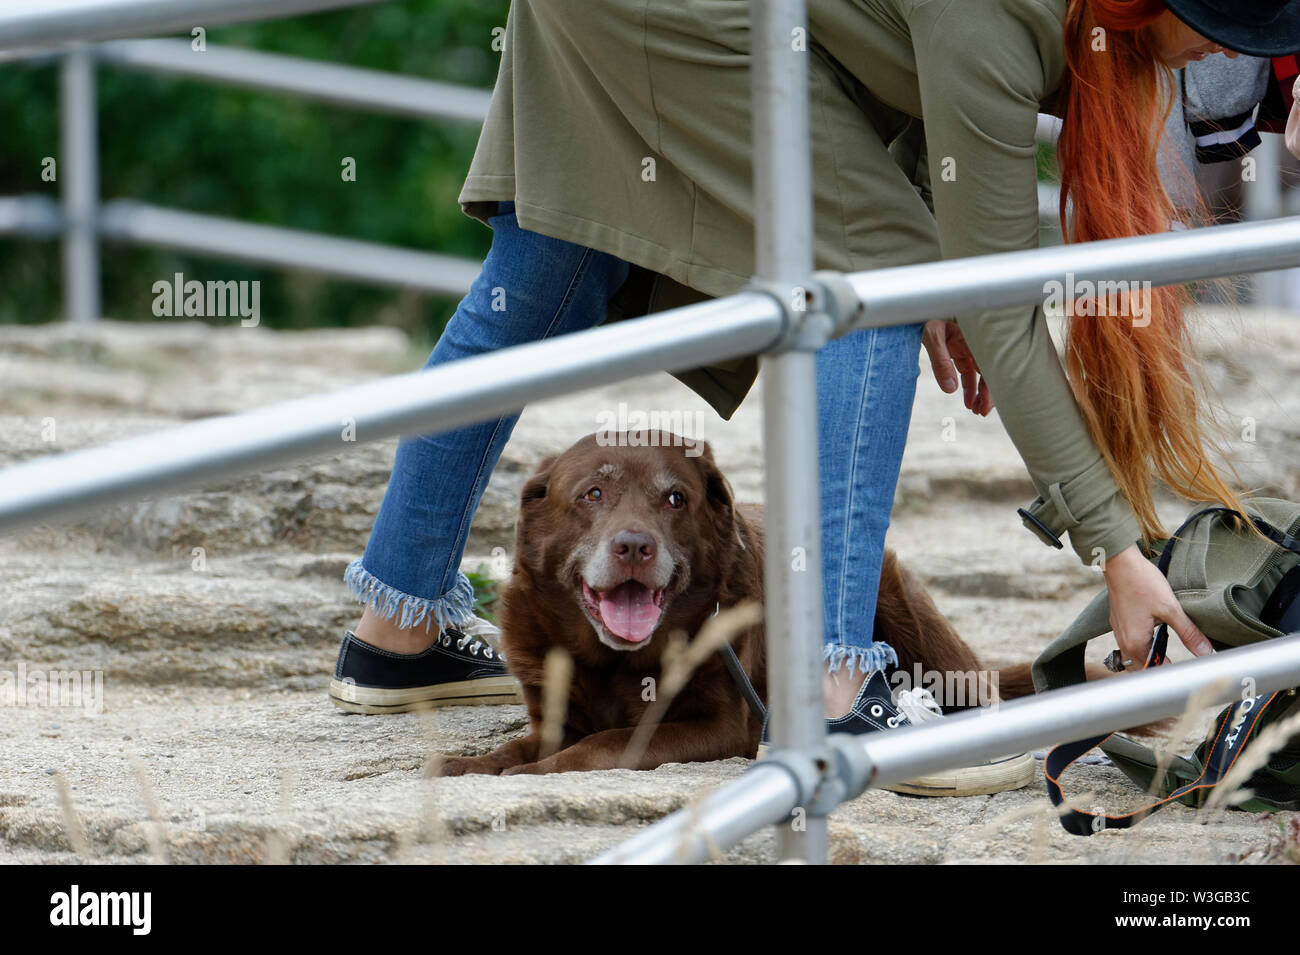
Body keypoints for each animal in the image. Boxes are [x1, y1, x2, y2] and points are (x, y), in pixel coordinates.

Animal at [441, 433, 1019, 779]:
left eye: (675, 498)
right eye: (593, 494)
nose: (634, 546)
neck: (615, 662)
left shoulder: (724, 725)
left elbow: (607, 742)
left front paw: (531, 774)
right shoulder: (552, 717)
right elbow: (520, 746)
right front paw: (469, 764)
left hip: (912, 615)